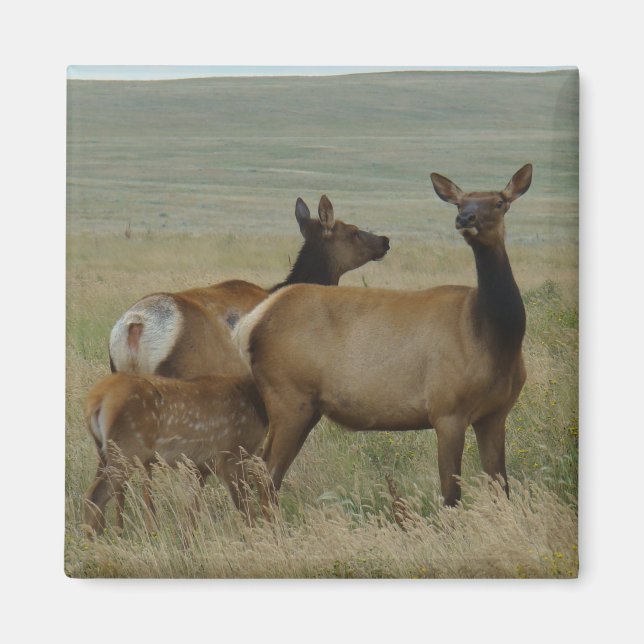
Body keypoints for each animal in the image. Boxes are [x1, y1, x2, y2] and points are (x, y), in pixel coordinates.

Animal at [235, 165, 532, 511]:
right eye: (459, 203)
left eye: (499, 201)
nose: (465, 218)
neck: (494, 336)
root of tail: (251, 323)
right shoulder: (446, 410)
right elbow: (451, 495)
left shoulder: (495, 414)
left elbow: (502, 488)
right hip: (288, 396)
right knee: (263, 471)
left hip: (305, 405)